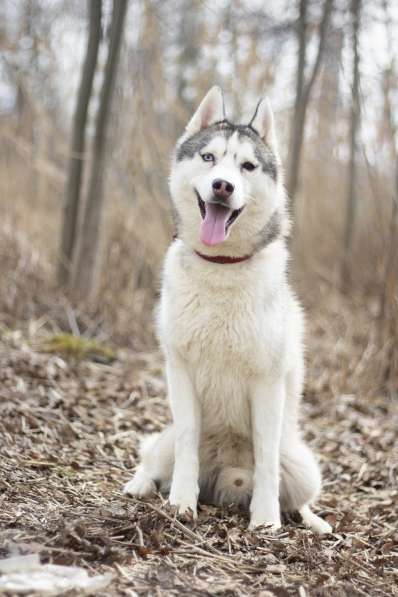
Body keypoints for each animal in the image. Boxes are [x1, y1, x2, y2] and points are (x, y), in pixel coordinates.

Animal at [123, 86, 330, 532]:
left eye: (248, 166)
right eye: (208, 158)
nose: (222, 186)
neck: (221, 267)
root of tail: (224, 481)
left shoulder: (268, 383)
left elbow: (267, 460)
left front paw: (266, 522)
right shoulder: (181, 371)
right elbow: (186, 444)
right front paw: (181, 504)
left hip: (304, 465)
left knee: (298, 493)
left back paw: (311, 520)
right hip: (165, 441)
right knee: (154, 460)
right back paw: (141, 485)